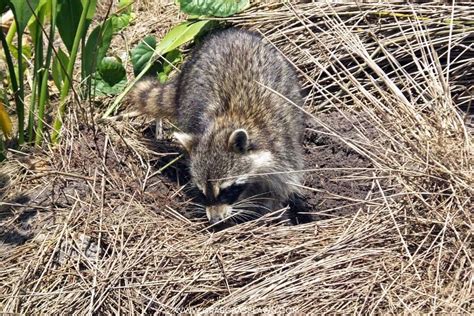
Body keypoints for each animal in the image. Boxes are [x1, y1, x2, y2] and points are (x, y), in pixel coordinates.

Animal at [130, 27, 304, 225]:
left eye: (226, 191)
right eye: (203, 192)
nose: (214, 220)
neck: (232, 117)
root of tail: (227, 33)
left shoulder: (283, 145)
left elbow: (280, 186)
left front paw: (269, 210)